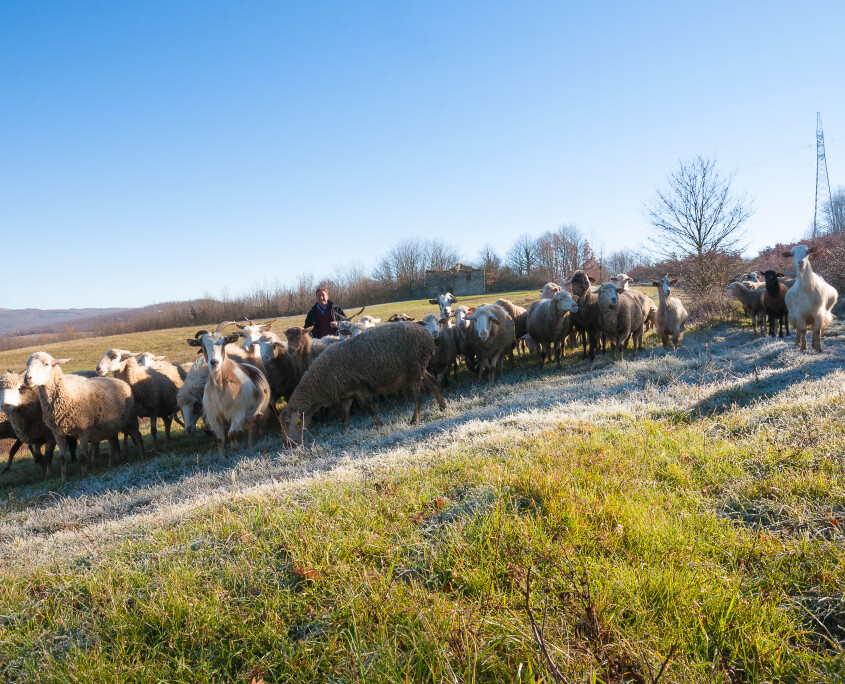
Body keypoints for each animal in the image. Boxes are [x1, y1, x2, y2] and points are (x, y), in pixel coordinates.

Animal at [23, 352, 145, 480]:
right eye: (28, 364)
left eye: (46, 364)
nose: (27, 379)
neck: (68, 395)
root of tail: (121, 381)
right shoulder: (57, 433)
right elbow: (62, 458)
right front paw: (64, 478)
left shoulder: (83, 430)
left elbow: (82, 456)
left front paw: (84, 476)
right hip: (110, 425)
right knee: (112, 442)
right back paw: (111, 463)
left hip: (130, 418)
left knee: (138, 435)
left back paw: (143, 455)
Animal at [185, 324, 270, 456]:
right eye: (203, 346)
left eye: (223, 343)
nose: (214, 362)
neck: (221, 388)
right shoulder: (214, 416)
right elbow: (220, 438)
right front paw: (221, 456)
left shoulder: (238, 413)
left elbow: (231, 434)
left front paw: (235, 447)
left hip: (256, 411)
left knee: (253, 426)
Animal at [278, 320, 448, 438]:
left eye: (287, 423)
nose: (289, 445)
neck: (320, 382)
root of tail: (427, 335)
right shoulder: (347, 393)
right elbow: (345, 414)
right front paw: (343, 432)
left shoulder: (359, 387)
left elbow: (369, 407)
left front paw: (379, 425)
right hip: (417, 369)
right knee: (433, 383)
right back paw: (443, 407)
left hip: (415, 366)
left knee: (419, 395)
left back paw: (414, 420)